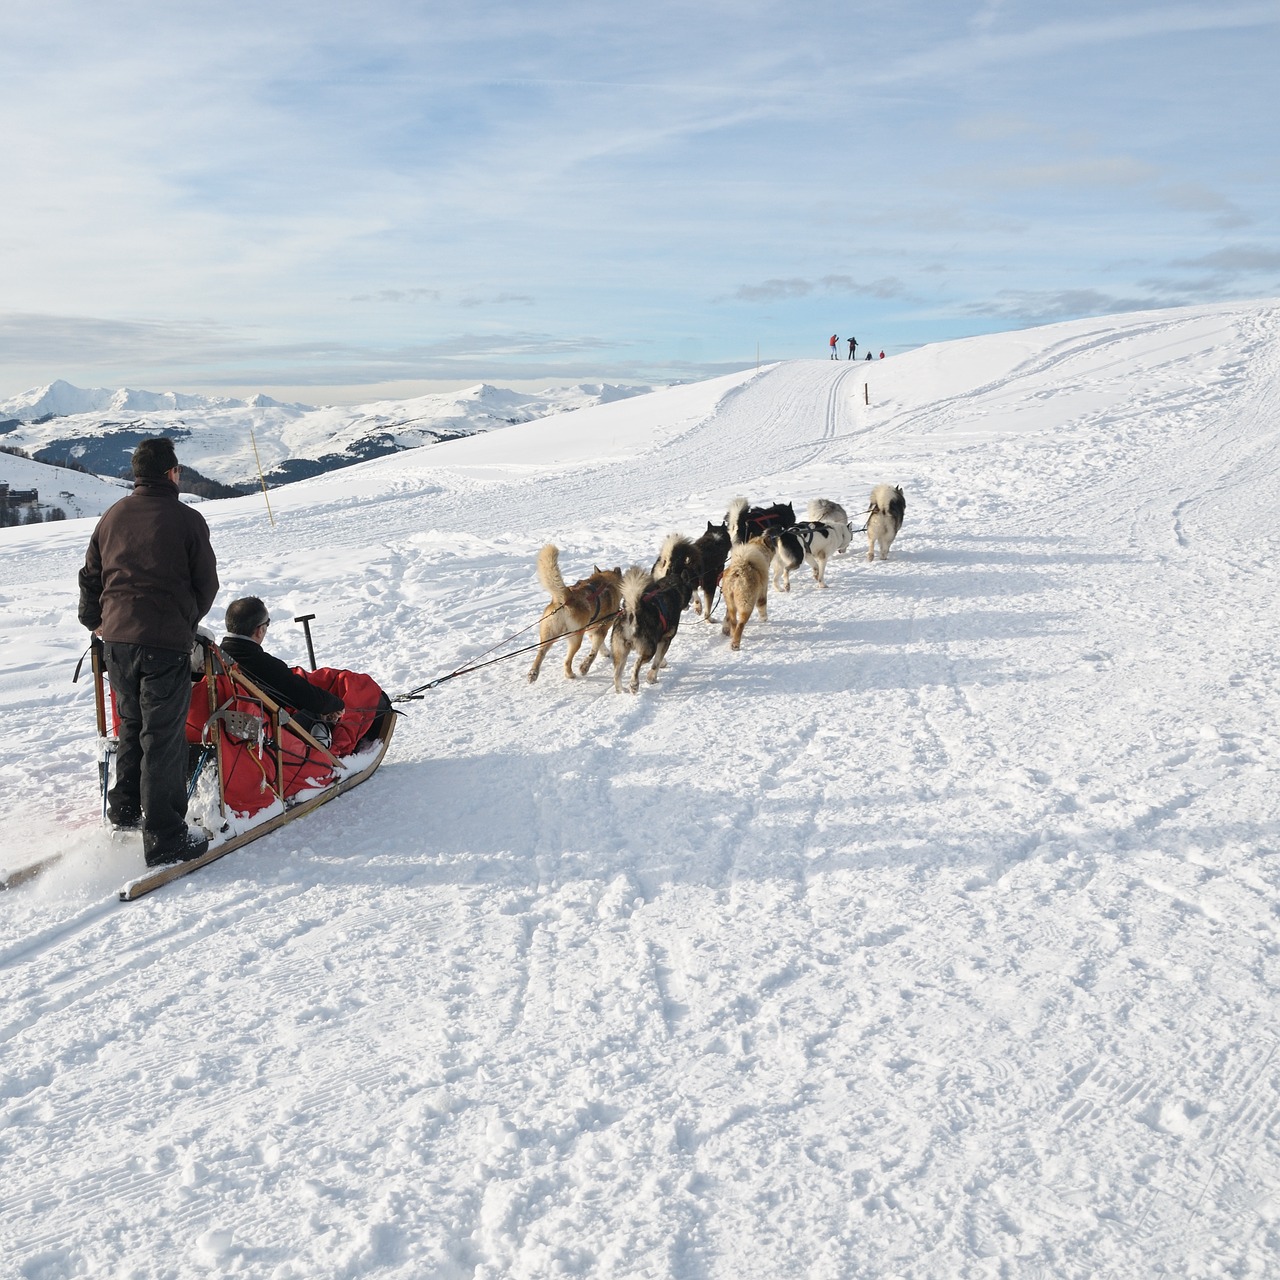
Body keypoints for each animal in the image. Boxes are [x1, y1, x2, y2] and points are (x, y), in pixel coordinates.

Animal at [519, 542, 619, 686]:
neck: (605, 582)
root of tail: (566, 597)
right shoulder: (602, 628)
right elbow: (594, 651)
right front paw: (585, 666)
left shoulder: (592, 631)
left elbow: (599, 646)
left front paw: (605, 653)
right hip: (575, 637)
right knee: (567, 661)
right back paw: (570, 674)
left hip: (549, 634)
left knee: (541, 652)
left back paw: (533, 673)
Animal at [606, 565, 691, 696]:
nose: (689, 606)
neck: (671, 587)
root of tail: (633, 613)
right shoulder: (666, 639)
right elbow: (657, 662)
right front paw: (652, 678)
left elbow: (659, 659)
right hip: (649, 649)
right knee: (637, 663)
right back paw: (634, 685)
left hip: (621, 652)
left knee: (616, 674)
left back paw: (621, 690)